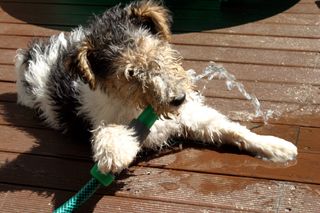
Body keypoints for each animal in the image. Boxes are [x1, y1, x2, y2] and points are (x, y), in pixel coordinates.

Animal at [15, 0, 298, 173]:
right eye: (130, 73)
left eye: (157, 51)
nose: (179, 98)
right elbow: (110, 132)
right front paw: (114, 155)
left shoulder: (191, 116)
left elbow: (234, 130)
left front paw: (277, 148)